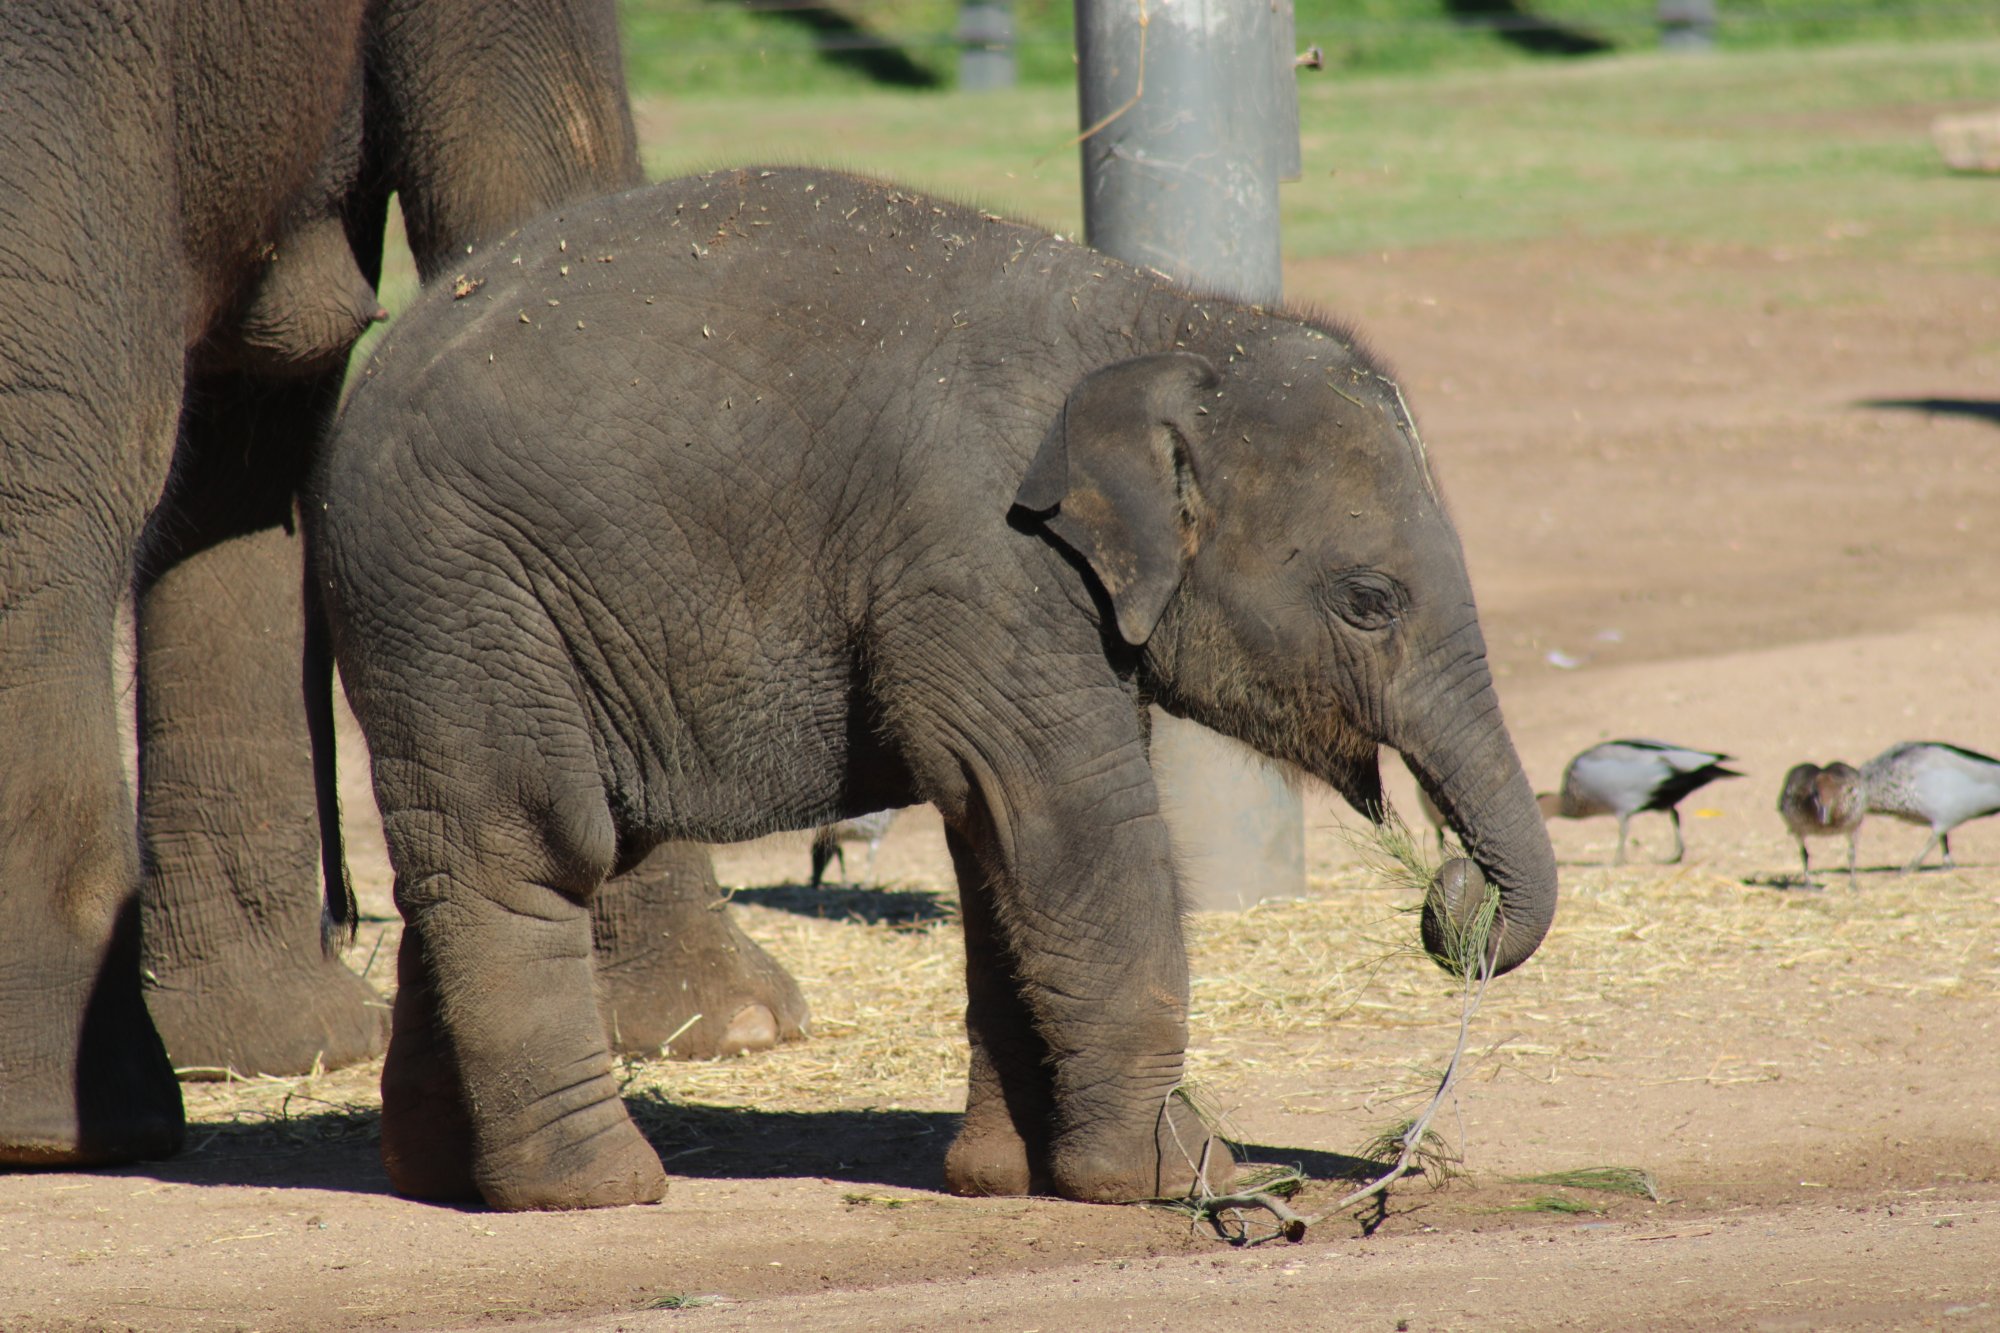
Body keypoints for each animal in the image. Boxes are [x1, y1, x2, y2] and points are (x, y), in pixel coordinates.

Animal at [308, 163, 1560, 1200]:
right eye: (1369, 600)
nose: (1450, 898)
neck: (1163, 319)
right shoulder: (977, 552)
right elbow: (1065, 822)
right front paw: (1195, 1182)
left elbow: (993, 839)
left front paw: (1004, 1180)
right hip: (462, 598)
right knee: (533, 846)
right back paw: (596, 1190)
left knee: (463, 859)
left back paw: (438, 1179)